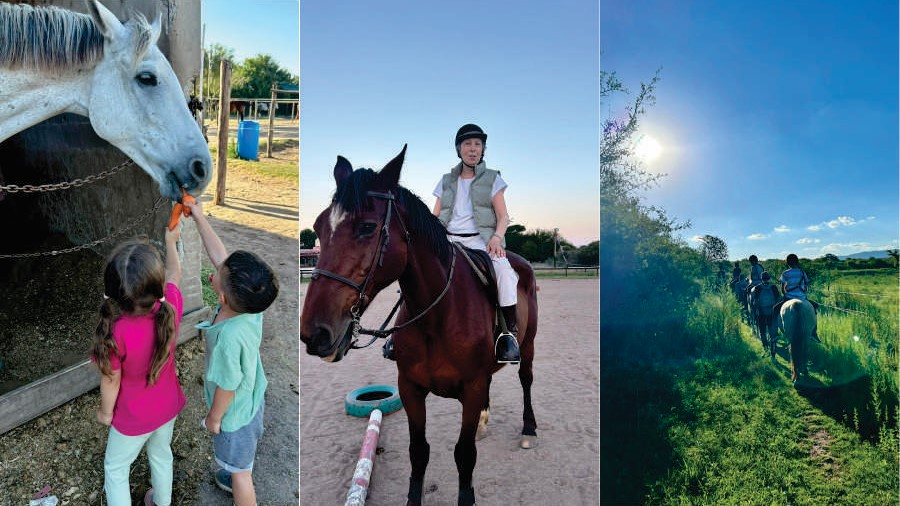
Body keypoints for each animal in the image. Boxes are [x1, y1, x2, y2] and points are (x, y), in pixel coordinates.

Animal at [299, 146, 539, 506]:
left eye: (367, 227)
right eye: (318, 226)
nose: (315, 333)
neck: (436, 317)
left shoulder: (471, 387)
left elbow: (464, 454)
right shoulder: (410, 387)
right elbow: (418, 451)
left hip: (528, 344)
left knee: (526, 379)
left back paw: (528, 430)